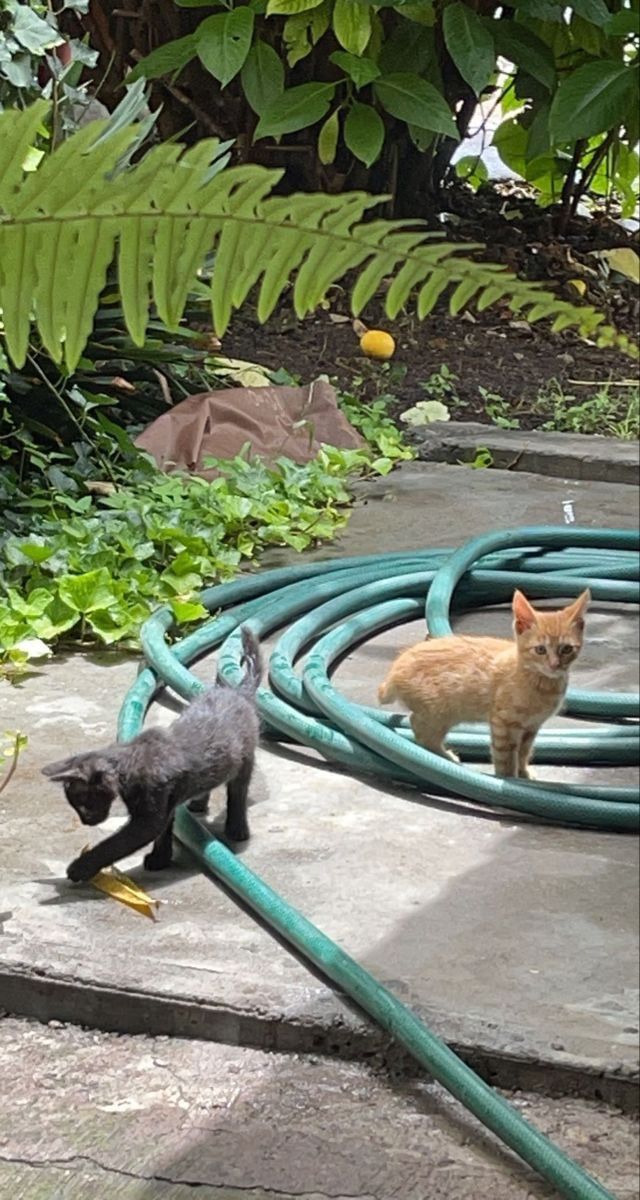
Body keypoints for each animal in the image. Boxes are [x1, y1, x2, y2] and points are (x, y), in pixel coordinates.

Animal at [42, 628, 261, 883]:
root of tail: (238, 691)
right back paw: (198, 803)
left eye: (82, 802)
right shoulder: (166, 804)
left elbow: (114, 845)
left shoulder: (149, 816)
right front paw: (160, 858)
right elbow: (165, 830)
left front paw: (81, 867)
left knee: (238, 792)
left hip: (245, 760)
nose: (85, 821)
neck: (130, 763)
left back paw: (237, 829)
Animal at [377, 588, 590, 777]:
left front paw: (523, 772)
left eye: (566, 649)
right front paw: (509, 779)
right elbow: (506, 756)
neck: (542, 682)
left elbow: (523, 752)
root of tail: (398, 667)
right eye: (540, 650)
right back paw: (444, 757)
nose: (554, 665)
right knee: (420, 729)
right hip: (439, 711)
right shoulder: (503, 722)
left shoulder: (531, 727)